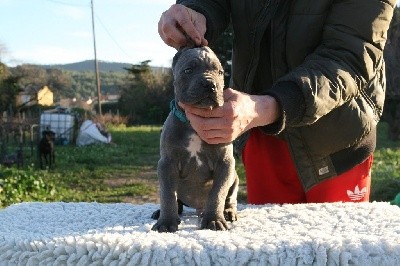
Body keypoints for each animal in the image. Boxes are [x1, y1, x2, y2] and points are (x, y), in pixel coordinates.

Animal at [150, 46, 238, 233]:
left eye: (220, 72)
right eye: (188, 70)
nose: (209, 84)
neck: (194, 123)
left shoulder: (225, 163)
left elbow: (218, 193)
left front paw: (214, 220)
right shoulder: (167, 164)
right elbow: (167, 194)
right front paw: (166, 222)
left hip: (234, 177)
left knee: (230, 197)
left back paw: (228, 212)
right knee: (176, 200)